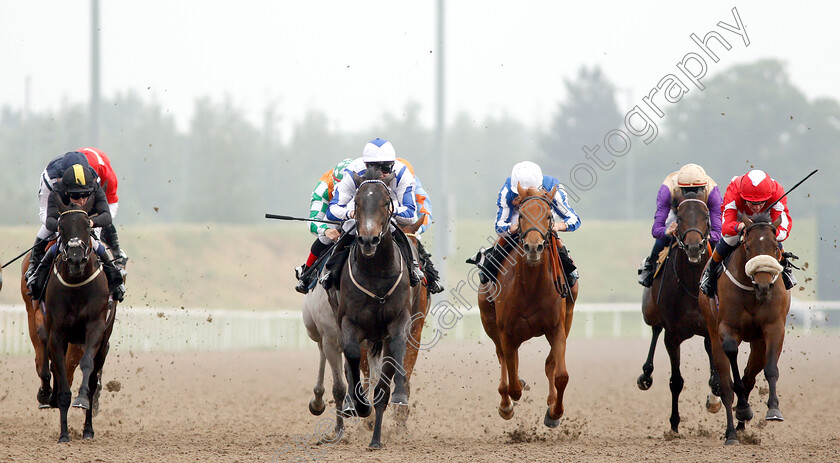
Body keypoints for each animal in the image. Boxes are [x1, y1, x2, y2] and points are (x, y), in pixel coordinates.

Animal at [42, 201, 115, 444]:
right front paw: (64, 434)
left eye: (87, 225)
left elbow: (86, 365)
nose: (75, 258)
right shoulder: (57, 335)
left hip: (103, 342)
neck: (76, 285)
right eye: (61, 227)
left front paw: (81, 399)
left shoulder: (95, 328)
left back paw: (88, 430)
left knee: (92, 380)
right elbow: (61, 376)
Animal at [334, 169, 416, 450]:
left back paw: (377, 438)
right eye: (357, 203)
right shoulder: (349, 322)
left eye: (386, 202)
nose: (368, 239)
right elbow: (351, 355)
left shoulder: (399, 320)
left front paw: (399, 394)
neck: (376, 274)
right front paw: (360, 405)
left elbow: (397, 352)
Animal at [480, 184, 576, 428]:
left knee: (549, 364)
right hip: (490, 323)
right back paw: (506, 404)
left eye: (549, 215)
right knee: (503, 361)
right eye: (521, 215)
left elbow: (561, 375)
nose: (534, 247)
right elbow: (513, 383)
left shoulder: (557, 328)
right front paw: (510, 399)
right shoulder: (506, 332)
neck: (531, 287)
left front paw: (554, 412)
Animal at [636, 190, 720, 434]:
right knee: (655, 330)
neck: (692, 283)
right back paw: (646, 374)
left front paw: (714, 399)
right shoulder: (672, 334)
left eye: (706, 216)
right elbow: (676, 381)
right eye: (680, 217)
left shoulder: (711, 327)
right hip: (650, 312)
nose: (693, 248)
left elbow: (716, 376)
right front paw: (674, 424)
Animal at [700, 211, 792, 446]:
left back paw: (741, 428)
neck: (752, 292)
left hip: (758, 344)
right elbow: (733, 370)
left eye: (775, 247)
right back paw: (732, 433)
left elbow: (770, 369)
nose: (763, 285)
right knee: (726, 387)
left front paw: (774, 410)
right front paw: (742, 408)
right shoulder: (727, 328)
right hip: (714, 336)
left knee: (750, 376)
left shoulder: (774, 327)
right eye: (748, 247)